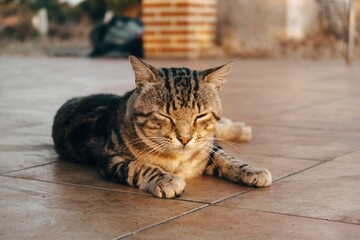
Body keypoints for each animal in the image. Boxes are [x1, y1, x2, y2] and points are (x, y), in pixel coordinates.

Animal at [52, 56, 272, 199]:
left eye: (200, 115)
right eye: (165, 115)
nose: (185, 139)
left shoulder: (208, 148)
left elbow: (227, 157)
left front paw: (251, 169)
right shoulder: (110, 158)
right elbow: (139, 166)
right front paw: (166, 180)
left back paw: (240, 129)